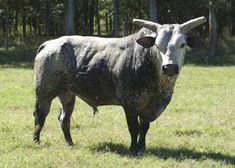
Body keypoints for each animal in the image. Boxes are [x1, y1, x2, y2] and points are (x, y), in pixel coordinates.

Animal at [33, 16, 206, 154]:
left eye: (182, 44)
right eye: (157, 45)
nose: (169, 67)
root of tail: (50, 43)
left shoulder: (150, 106)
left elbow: (144, 128)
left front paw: (142, 147)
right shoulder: (130, 104)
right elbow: (134, 128)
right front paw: (133, 149)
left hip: (67, 94)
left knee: (64, 118)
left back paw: (70, 143)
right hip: (44, 92)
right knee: (40, 115)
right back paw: (36, 141)